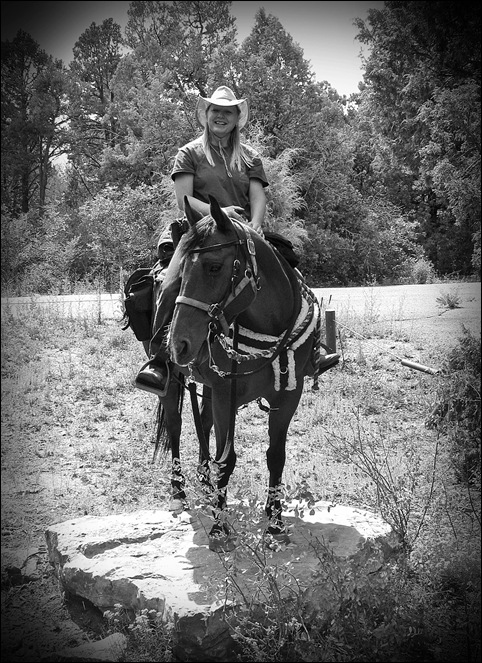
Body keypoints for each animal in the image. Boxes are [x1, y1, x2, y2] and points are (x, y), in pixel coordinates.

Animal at [154, 194, 326, 551]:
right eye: (179, 269)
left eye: (214, 266)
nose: (177, 343)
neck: (270, 324)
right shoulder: (225, 394)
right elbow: (227, 458)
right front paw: (220, 529)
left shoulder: (288, 394)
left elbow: (276, 455)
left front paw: (274, 523)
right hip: (174, 381)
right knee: (176, 425)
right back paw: (179, 491)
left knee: (202, 424)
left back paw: (205, 484)